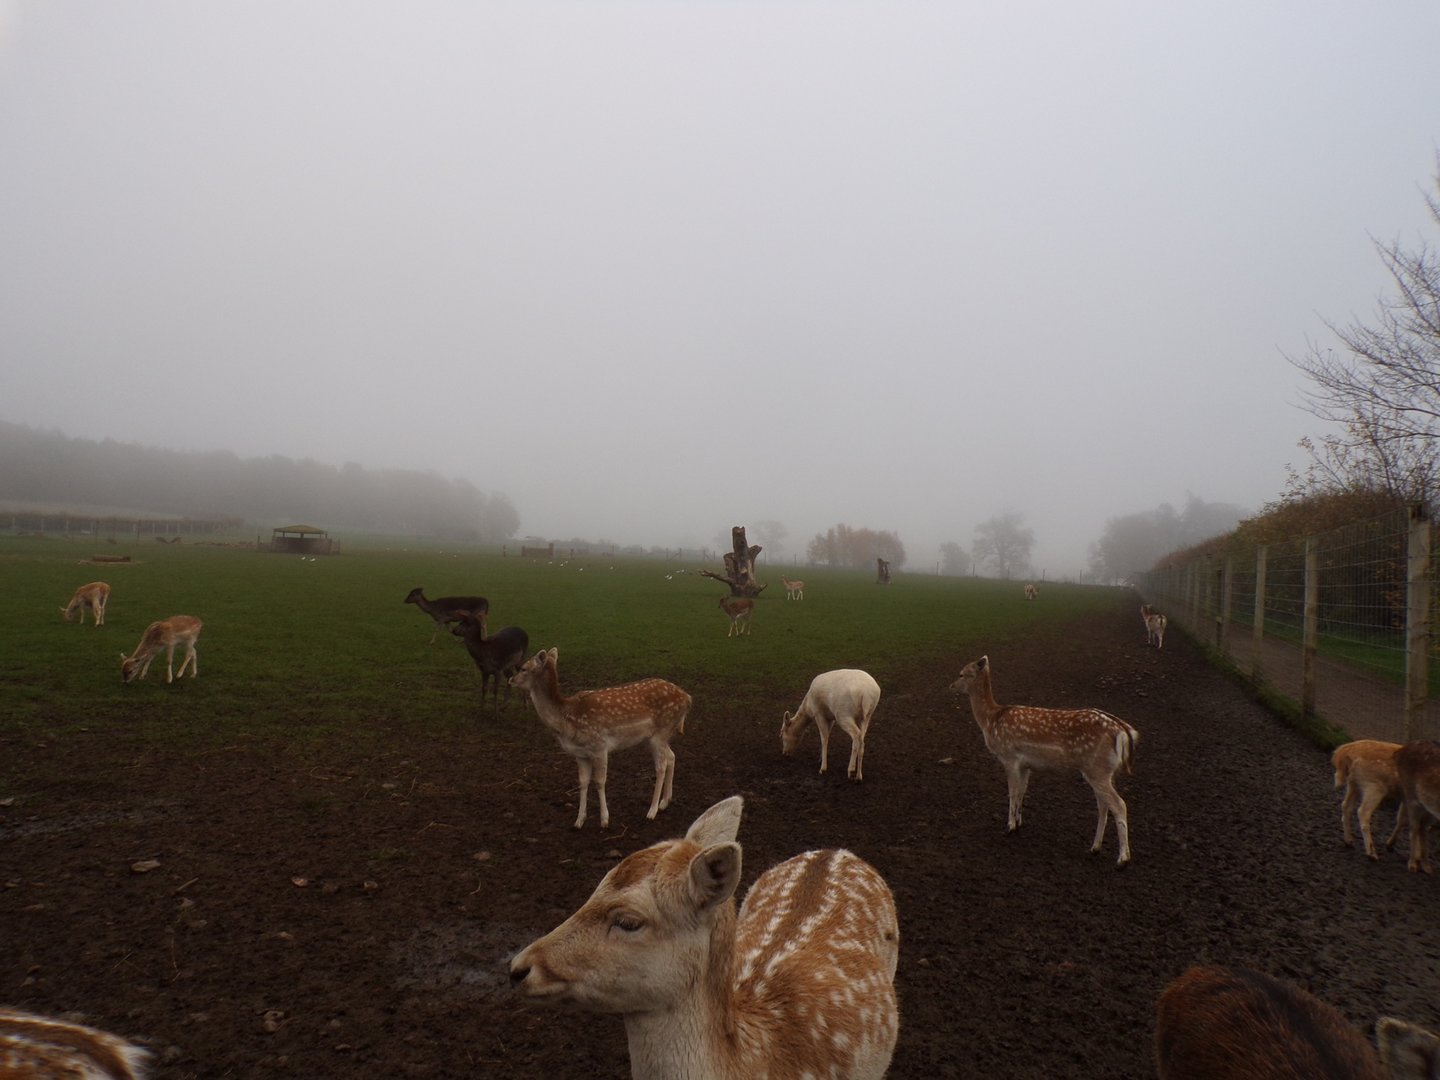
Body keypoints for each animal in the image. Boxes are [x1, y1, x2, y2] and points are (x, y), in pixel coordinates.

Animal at [507, 647, 691, 829]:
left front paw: (604, 820)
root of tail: (688, 697)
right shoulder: (580, 754)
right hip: (655, 737)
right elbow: (583, 782)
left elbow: (599, 781)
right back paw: (665, 802)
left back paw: (652, 811)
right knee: (671, 756)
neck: (567, 720)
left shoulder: (600, 746)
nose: (510, 680)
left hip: (660, 732)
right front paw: (579, 820)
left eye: (523, 668)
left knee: (661, 766)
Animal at [950, 654, 1139, 866]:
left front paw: (1009, 827)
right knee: (1104, 805)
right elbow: (1022, 791)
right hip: (1106, 772)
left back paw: (1122, 859)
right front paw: (1019, 822)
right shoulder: (1025, 764)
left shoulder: (1009, 757)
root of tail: (1124, 732)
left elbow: (1012, 792)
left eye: (961, 673)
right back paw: (1095, 848)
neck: (990, 720)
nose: (951, 686)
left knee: (1119, 804)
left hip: (1096, 769)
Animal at [1395, 739, 1440, 873]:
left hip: (1428, 809)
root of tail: (1398, 752)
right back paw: (1412, 864)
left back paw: (1426, 866)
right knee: (1414, 827)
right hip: (1411, 794)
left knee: (1422, 828)